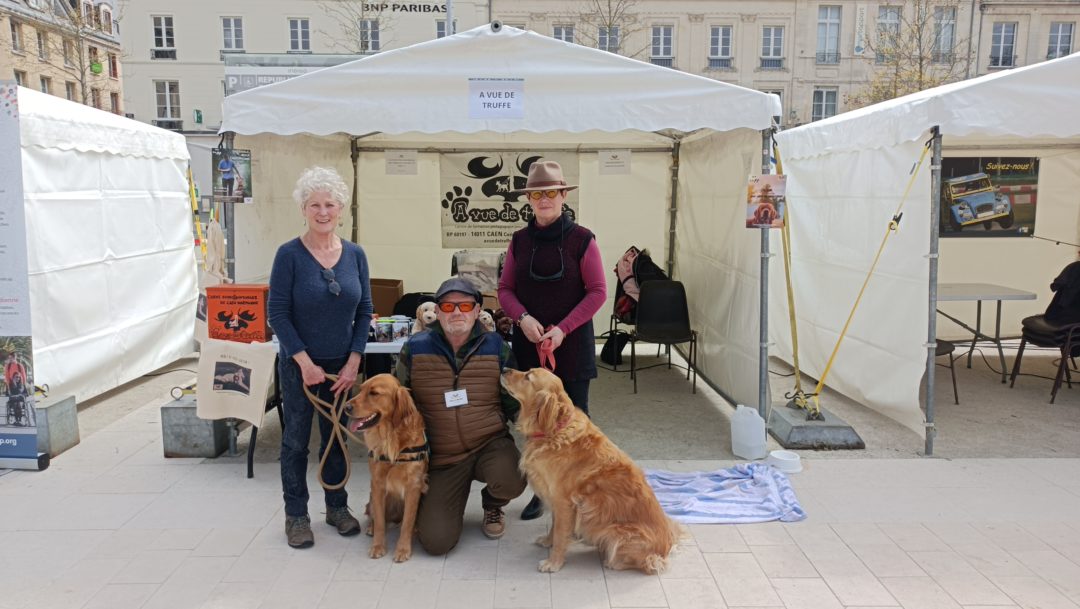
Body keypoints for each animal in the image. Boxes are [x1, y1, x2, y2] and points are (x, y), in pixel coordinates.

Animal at [347, 375, 427, 561]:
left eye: (374, 393)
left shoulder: (414, 486)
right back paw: (371, 528)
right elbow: (380, 521)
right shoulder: (377, 483)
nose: (346, 407)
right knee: (374, 515)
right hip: (372, 497)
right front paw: (377, 546)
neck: (391, 438)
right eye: (361, 389)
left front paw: (403, 549)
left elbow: (407, 522)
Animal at [501, 367, 678, 574]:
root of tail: (666, 548)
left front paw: (553, 563)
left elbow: (560, 535)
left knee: (646, 562)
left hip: (615, 532)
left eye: (528, 376)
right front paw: (547, 541)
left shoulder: (564, 502)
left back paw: (610, 560)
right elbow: (554, 526)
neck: (554, 430)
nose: (504, 369)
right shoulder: (555, 500)